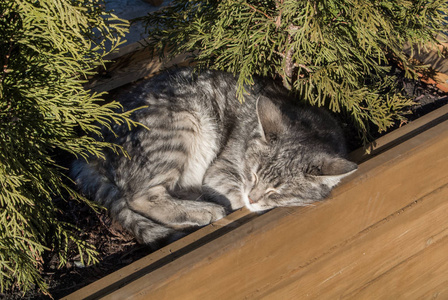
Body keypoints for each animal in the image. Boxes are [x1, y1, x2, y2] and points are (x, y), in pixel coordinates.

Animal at [70, 68, 356, 246]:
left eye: (277, 191)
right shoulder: (219, 171)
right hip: (183, 122)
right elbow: (234, 195)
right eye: (252, 174)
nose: (253, 197)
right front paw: (237, 201)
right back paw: (204, 209)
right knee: (139, 197)